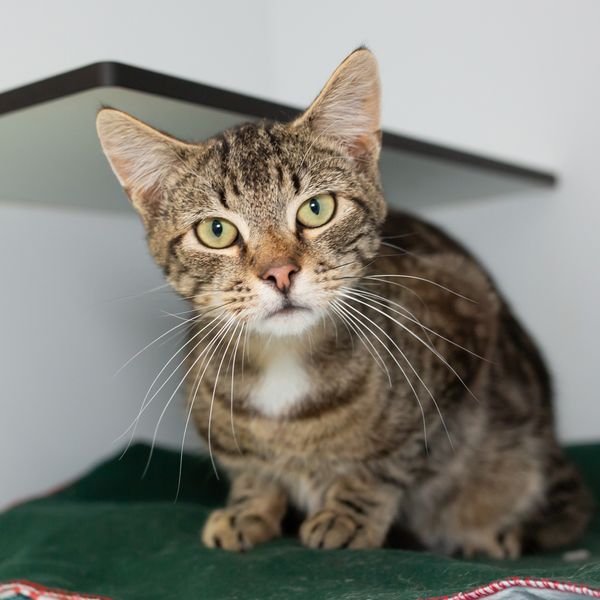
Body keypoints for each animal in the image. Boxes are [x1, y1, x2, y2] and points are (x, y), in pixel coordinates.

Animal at [96, 48, 592, 557]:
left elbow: (389, 460)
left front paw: (349, 513)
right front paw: (249, 508)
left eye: (317, 209)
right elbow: (253, 471)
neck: (284, 367)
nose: (279, 272)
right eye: (217, 231)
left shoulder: (465, 320)